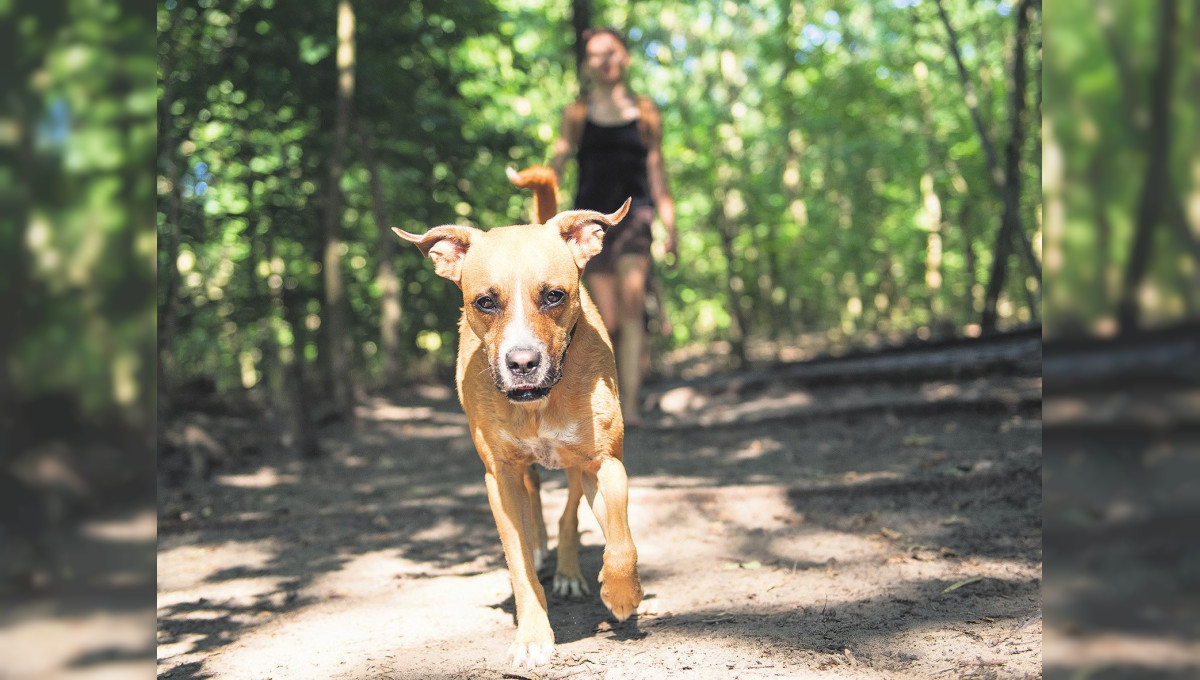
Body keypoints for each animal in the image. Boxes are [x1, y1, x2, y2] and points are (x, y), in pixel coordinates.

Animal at [393, 166, 643, 671]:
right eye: (485, 302)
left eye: (554, 295)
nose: (522, 362)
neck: (537, 403)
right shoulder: (500, 478)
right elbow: (519, 564)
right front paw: (532, 635)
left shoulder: (605, 463)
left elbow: (621, 540)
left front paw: (622, 593)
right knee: (535, 509)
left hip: (576, 467)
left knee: (569, 514)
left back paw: (568, 570)